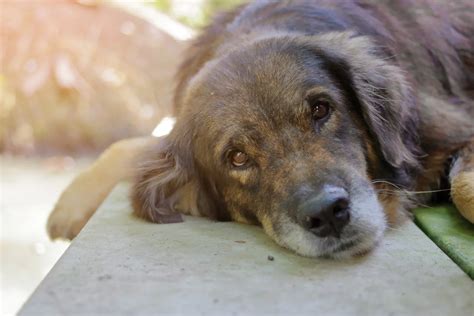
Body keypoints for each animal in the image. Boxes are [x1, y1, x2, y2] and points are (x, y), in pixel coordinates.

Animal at [47, 0, 474, 260]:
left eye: (321, 110)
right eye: (237, 157)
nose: (329, 214)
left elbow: (463, 188)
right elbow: (134, 145)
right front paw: (71, 202)